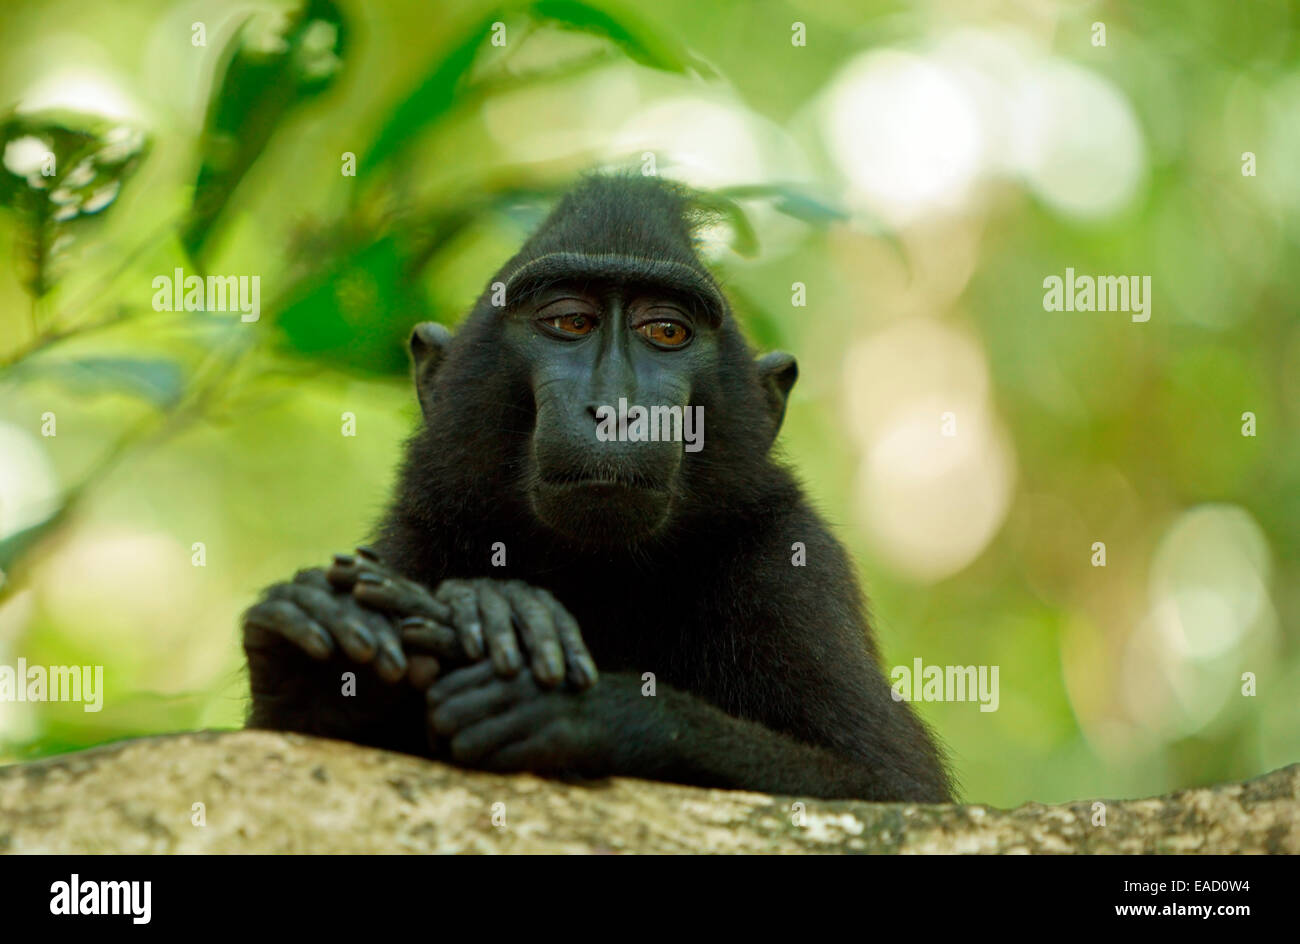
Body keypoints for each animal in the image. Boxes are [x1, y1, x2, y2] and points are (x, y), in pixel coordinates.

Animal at [242, 174, 953, 802]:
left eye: (666, 332)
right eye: (569, 322)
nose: (616, 409)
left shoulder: (790, 559)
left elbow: (891, 786)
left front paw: (571, 699)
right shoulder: (416, 532)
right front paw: (316, 638)